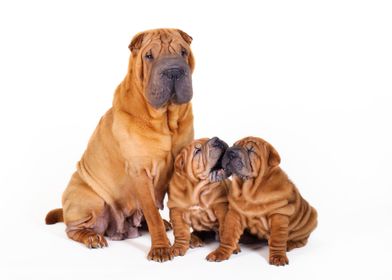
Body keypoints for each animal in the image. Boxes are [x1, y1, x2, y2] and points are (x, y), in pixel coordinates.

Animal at [46, 28, 196, 262]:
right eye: (149, 56)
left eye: (183, 52)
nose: (173, 71)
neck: (165, 119)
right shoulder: (140, 173)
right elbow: (152, 213)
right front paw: (161, 248)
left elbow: (180, 208)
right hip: (91, 200)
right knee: (73, 229)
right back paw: (92, 237)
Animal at [207, 137, 316, 266]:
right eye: (234, 145)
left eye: (250, 150)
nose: (231, 151)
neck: (251, 191)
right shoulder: (234, 213)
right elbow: (228, 235)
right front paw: (220, 253)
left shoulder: (279, 214)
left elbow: (277, 239)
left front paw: (278, 257)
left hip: (310, 219)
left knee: (301, 240)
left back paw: (289, 245)